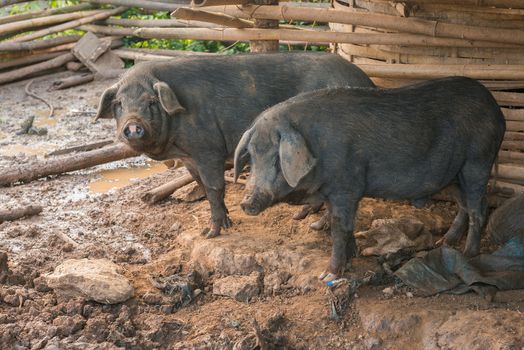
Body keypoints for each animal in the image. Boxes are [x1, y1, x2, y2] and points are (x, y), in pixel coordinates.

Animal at [94, 52, 372, 238]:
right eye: (119, 104)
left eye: (151, 101)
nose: (132, 125)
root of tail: (366, 79)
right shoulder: (189, 158)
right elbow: (201, 186)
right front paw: (223, 223)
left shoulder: (208, 150)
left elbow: (214, 187)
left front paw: (210, 233)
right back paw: (301, 216)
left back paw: (317, 226)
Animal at [235, 77, 506, 282]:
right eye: (252, 156)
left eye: (276, 159)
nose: (246, 202)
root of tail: (496, 109)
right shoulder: (335, 191)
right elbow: (344, 225)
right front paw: (352, 256)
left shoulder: (346, 186)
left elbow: (339, 228)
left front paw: (328, 276)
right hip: (453, 175)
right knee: (464, 205)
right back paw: (445, 242)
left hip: (478, 160)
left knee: (479, 207)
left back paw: (469, 255)